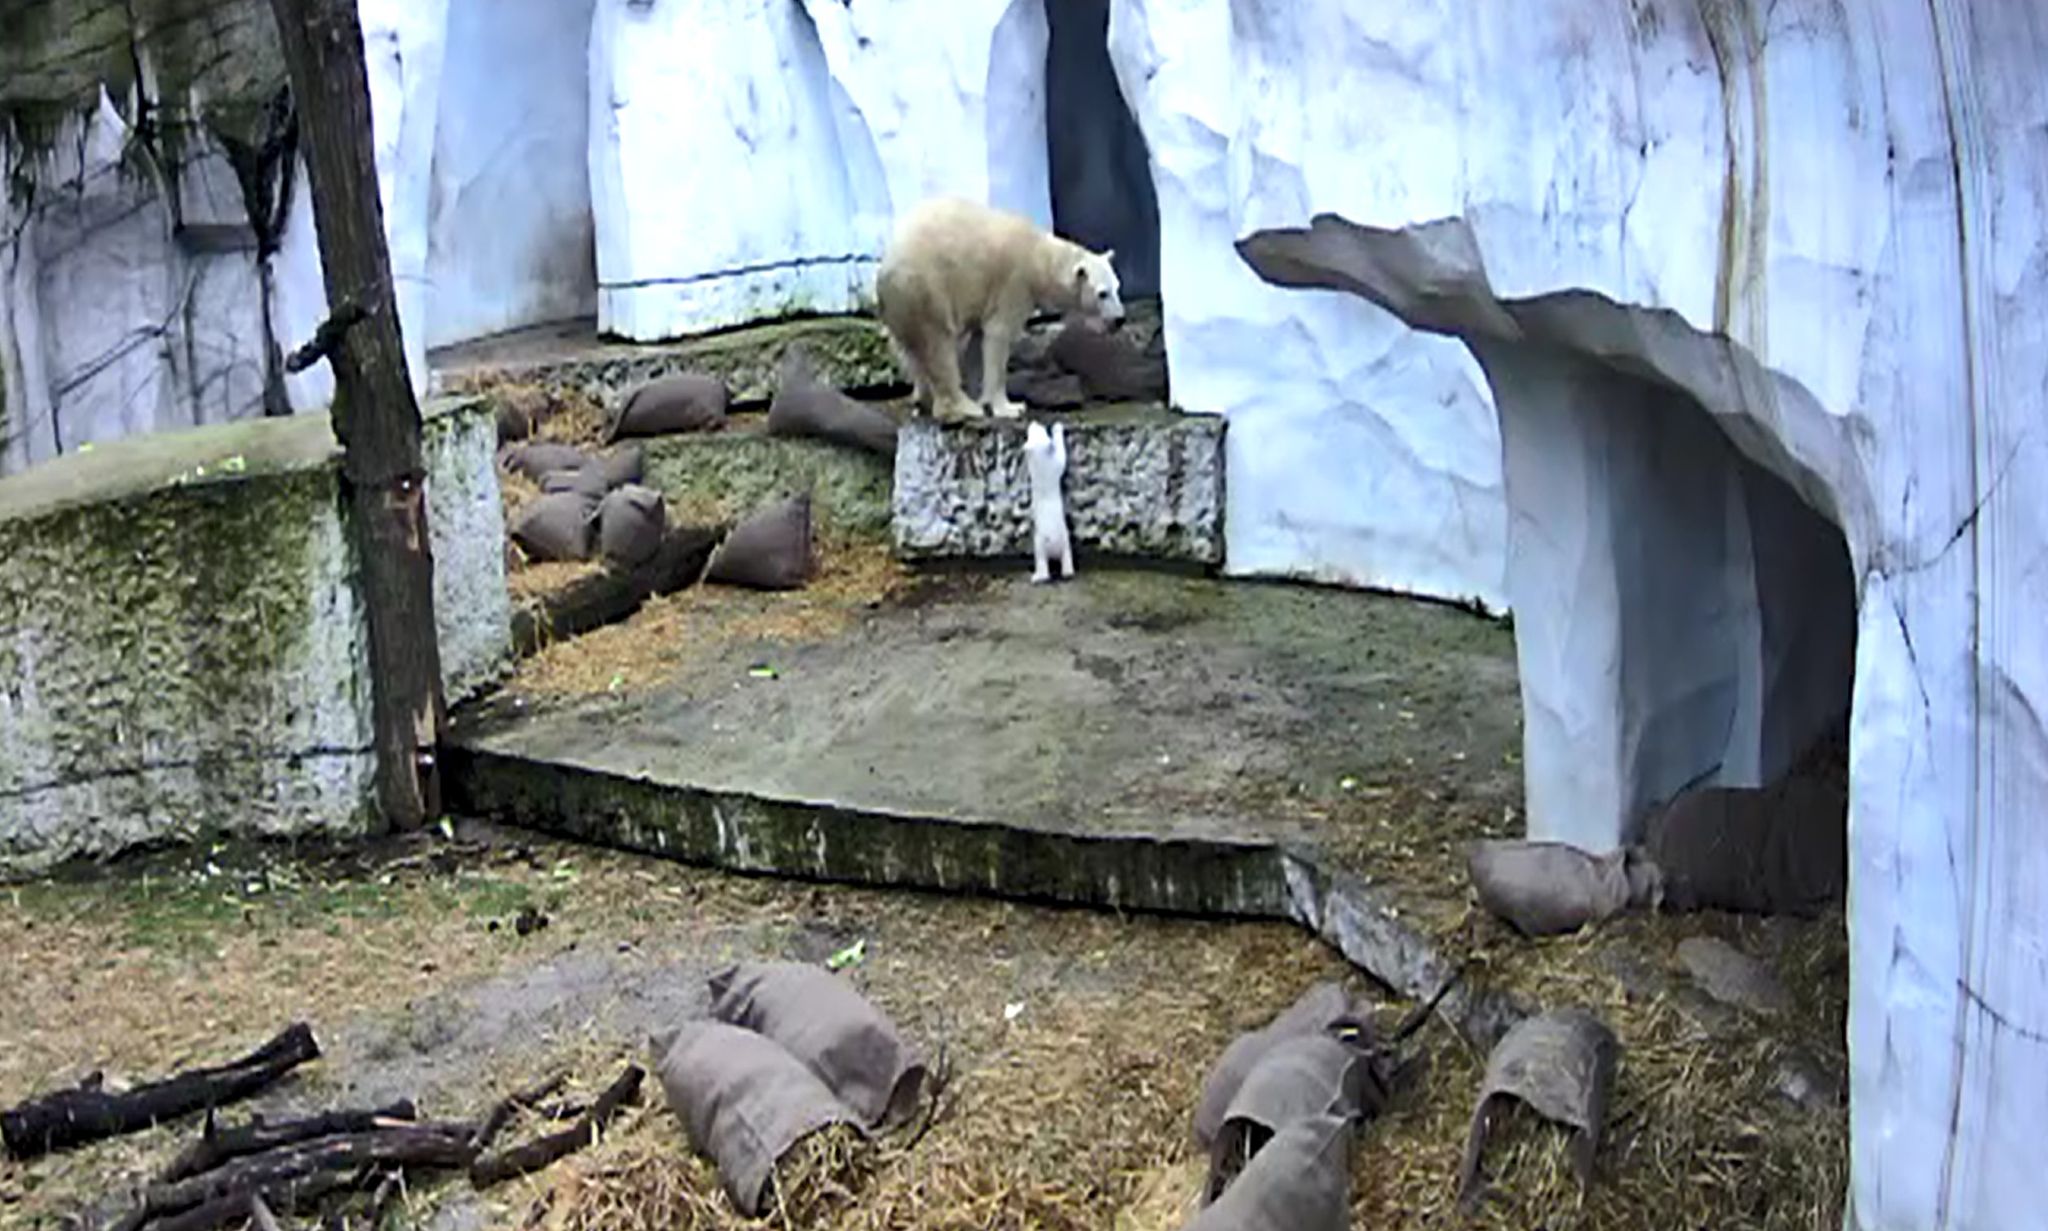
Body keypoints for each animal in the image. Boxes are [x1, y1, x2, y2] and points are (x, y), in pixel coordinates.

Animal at [872, 194, 1130, 419]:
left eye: (1117, 287)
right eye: (1102, 294)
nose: (1119, 319)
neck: (1039, 256)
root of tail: (885, 269)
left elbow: (978, 341)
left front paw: (982, 394)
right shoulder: (1015, 283)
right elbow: (999, 334)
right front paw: (1009, 407)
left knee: (909, 350)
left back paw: (922, 399)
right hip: (926, 289)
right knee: (938, 344)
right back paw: (963, 407)